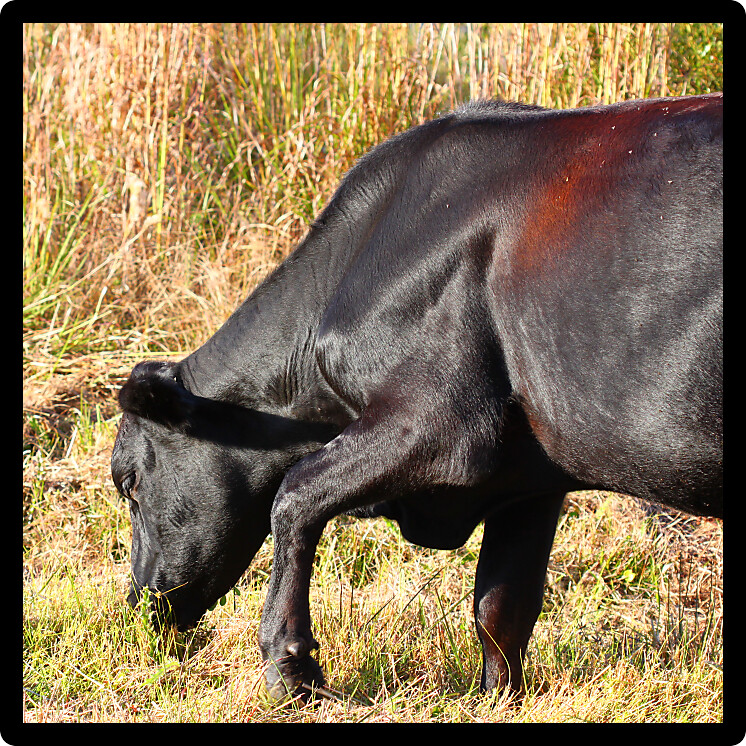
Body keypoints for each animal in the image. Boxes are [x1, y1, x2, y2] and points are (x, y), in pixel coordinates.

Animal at [111, 94, 722, 701]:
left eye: (130, 483)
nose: (138, 611)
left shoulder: (445, 427)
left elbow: (294, 495)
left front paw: (290, 666)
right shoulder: (530, 479)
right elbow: (501, 608)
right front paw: (497, 698)